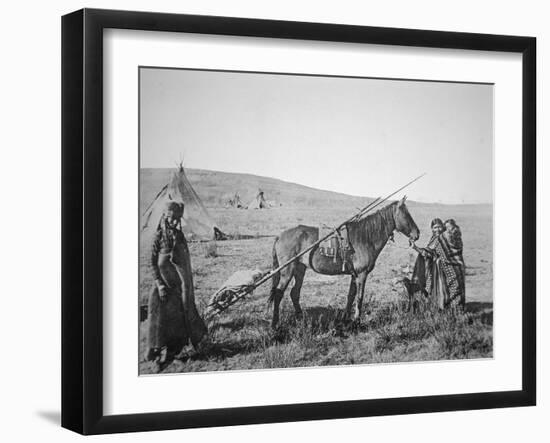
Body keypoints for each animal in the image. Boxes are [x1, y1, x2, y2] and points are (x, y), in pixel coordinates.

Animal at [270, 196, 420, 328]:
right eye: (406, 214)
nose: (417, 234)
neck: (365, 237)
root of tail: (279, 236)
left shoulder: (354, 275)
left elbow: (351, 296)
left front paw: (345, 318)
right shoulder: (362, 274)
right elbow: (359, 297)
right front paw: (357, 321)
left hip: (300, 269)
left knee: (294, 293)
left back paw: (301, 318)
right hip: (287, 270)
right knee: (278, 293)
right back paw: (275, 324)